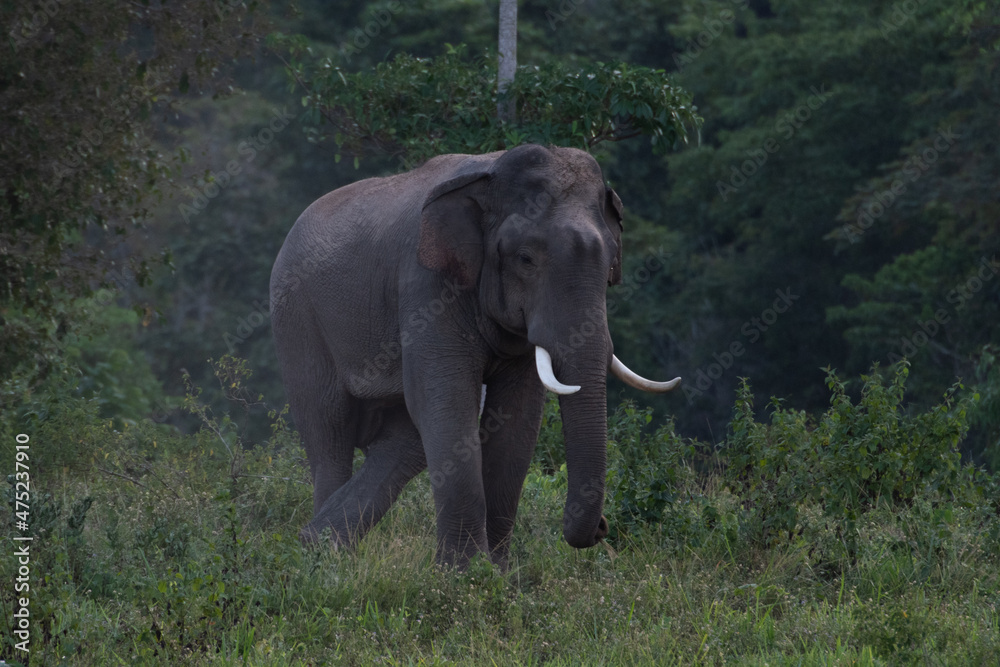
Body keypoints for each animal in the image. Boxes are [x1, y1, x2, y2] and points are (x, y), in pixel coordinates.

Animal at [269, 144, 679, 570]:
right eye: (525, 259)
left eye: (610, 262)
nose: (602, 527)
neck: (491, 175)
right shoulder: (427, 283)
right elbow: (448, 399)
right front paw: (463, 573)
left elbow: (516, 418)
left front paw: (497, 573)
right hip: (295, 315)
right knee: (329, 428)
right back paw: (322, 557)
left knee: (403, 436)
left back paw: (322, 542)